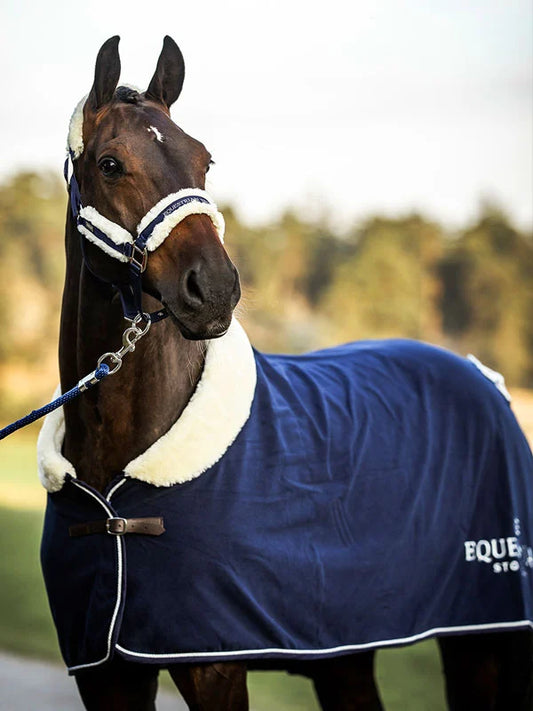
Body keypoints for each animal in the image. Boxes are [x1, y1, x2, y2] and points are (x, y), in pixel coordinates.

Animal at [35, 36, 533, 710]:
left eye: (205, 160)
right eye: (111, 164)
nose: (214, 289)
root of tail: (486, 378)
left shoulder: (213, 667)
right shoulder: (106, 672)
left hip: (481, 637)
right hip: (346, 657)